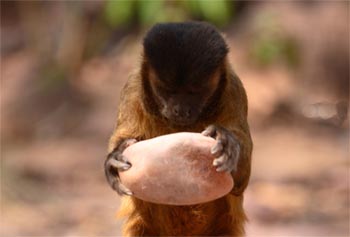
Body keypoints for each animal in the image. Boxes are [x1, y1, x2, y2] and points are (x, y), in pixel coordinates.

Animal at [103, 21, 252, 235]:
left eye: (194, 92)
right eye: (168, 90)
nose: (181, 109)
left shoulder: (233, 88)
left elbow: (241, 181)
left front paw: (226, 144)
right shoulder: (133, 87)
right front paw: (114, 158)